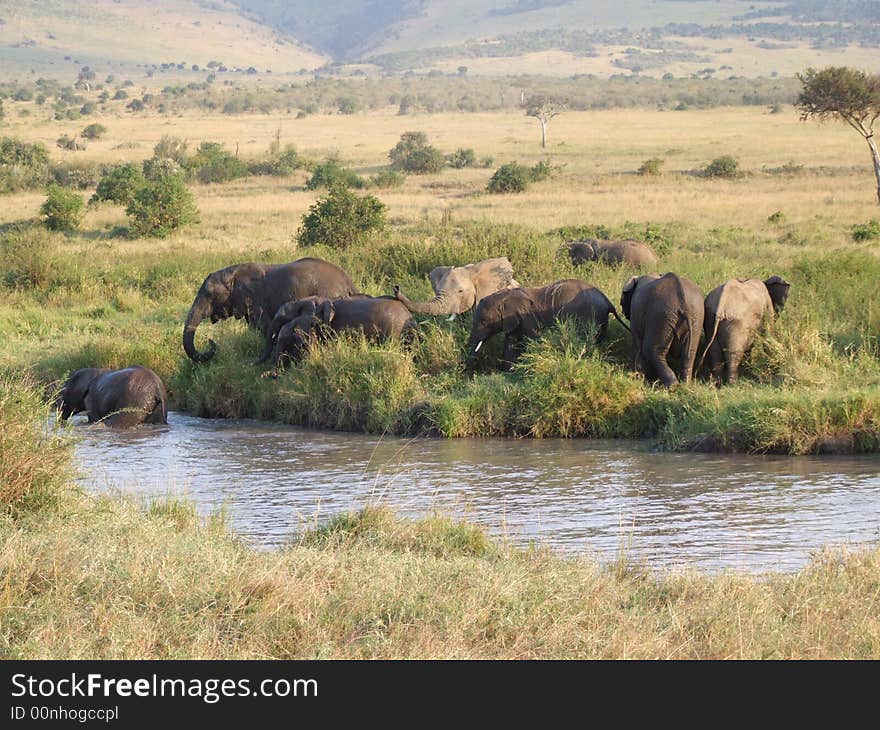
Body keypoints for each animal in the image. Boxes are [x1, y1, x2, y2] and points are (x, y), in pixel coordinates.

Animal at [182, 258, 358, 362]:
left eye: (209, 295)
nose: (210, 341)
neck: (231, 274)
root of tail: (348, 281)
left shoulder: (256, 300)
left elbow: (264, 327)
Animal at [464, 278, 628, 370]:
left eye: (484, 321)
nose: (469, 373)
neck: (504, 295)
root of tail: (607, 300)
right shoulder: (514, 320)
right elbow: (511, 343)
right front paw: (509, 371)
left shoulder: (528, 317)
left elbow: (533, 339)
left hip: (592, 316)